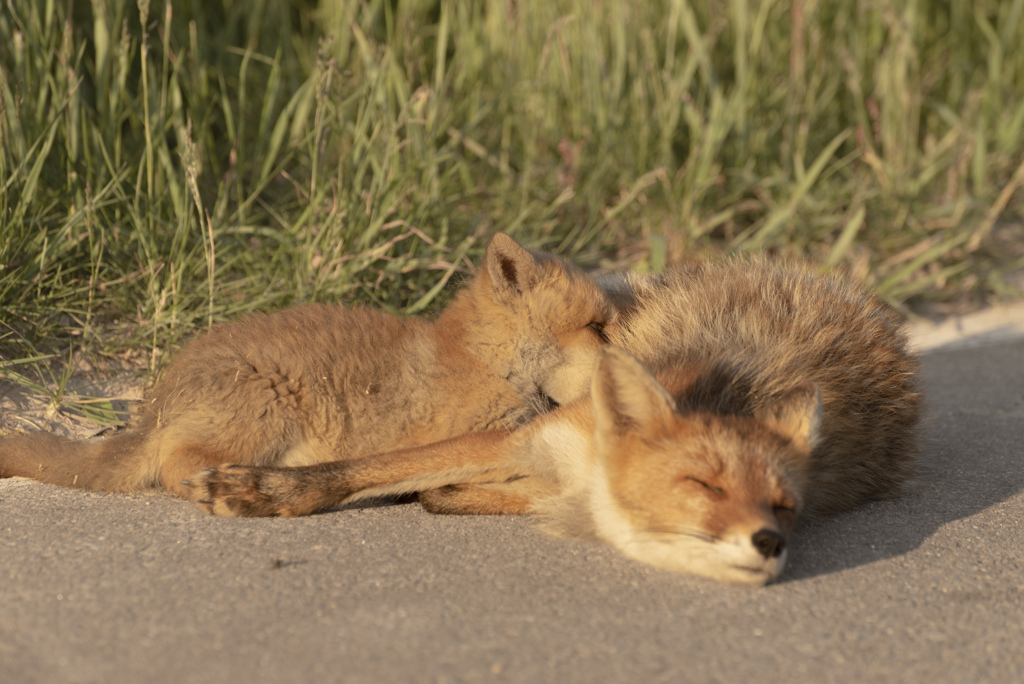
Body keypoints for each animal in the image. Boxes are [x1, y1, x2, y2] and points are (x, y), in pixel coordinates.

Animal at [178, 259, 921, 585]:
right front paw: (265, 489)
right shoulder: (526, 433)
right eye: (701, 486)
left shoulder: (543, 467)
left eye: (787, 507)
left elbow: (459, 491)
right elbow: (360, 471)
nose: (769, 542)